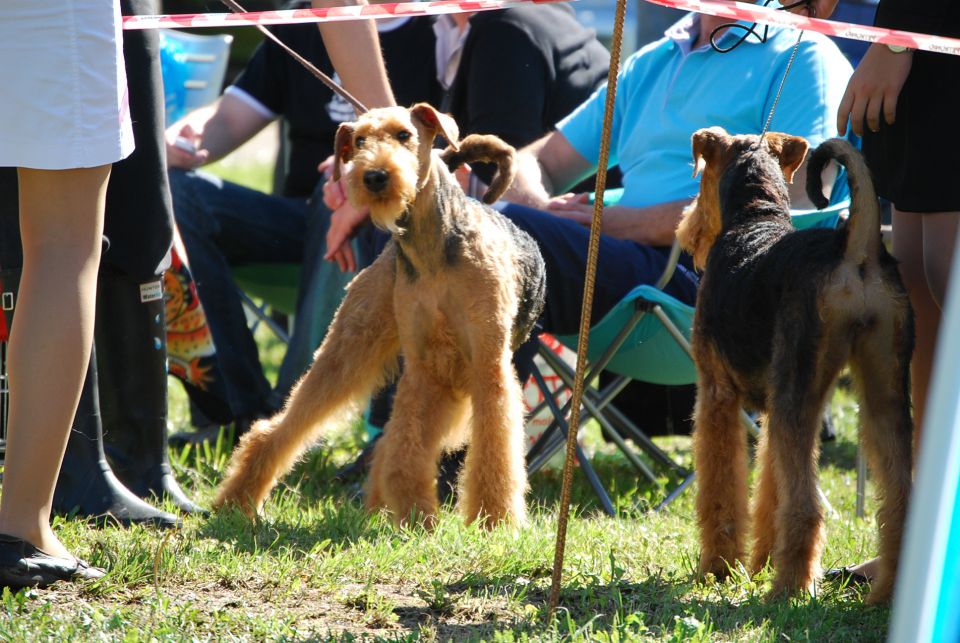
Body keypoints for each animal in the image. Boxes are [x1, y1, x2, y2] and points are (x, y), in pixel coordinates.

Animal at [218, 104, 548, 528]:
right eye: (359, 140)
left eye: (404, 134)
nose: (374, 176)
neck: (432, 252)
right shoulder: (423, 366)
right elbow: (406, 448)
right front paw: (416, 512)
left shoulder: (486, 362)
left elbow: (494, 448)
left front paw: (494, 521)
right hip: (350, 349)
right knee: (282, 427)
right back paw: (237, 502)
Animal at [676, 127, 916, 604]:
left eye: (701, 177)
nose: (688, 233)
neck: (755, 215)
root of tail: (855, 248)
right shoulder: (771, 411)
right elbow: (771, 490)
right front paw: (762, 561)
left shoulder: (716, 395)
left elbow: (721, 491)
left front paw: (719, 568)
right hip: (883, 391)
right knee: (898, 499)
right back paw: (885, 591)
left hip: (799, 395)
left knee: (809, 506)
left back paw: (788, 591)